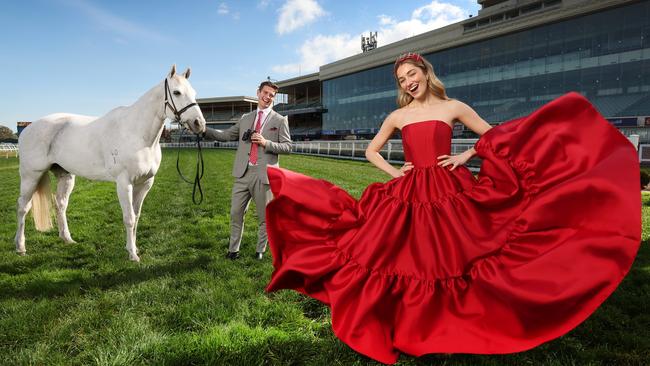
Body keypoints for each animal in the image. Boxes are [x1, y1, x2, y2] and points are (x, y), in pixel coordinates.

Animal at [15, 65, 204, 260]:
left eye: (194, 93)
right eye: (176, 92)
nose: (199, 123)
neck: (137, 134)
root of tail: (27, 129)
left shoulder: (145, 183)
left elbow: (136, 216)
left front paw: (134, 248)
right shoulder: (124, 183)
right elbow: (129, 218)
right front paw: (132, 255)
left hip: (65, 176)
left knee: (60, 203)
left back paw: (67, 239)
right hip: (31, 176)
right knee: (23, 207)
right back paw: (20, 247)